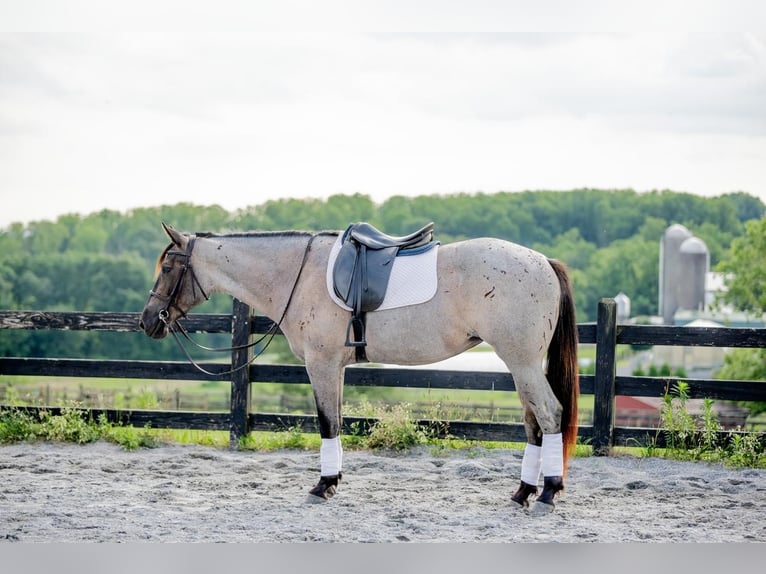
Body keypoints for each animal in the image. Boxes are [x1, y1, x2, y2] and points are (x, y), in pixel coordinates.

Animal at [140, 223, 584, 516]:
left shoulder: (320, 364)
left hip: (522, 363)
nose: (148, 321)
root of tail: (543, 262)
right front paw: (332, 482)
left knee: (550, 415)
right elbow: (335, 421)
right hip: (521, 366)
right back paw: (523, 492)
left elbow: (326, 423)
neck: (298, 275)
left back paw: (548, 494)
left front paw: (322, 486)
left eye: (168, 268)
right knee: (534, 423)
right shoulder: (334, 367)